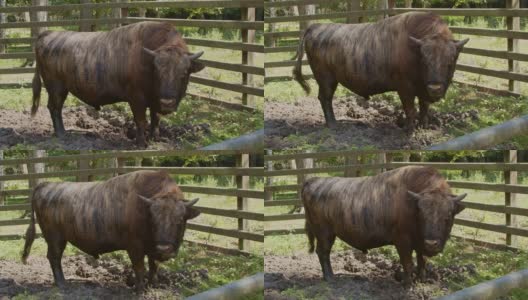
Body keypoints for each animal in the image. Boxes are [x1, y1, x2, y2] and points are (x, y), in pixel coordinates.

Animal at [20, 170, 200, 292]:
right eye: (153, 220)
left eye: (179, 220)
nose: (164, 249)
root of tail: (46, 185)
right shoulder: (135, 248)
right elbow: (139, 268)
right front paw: (139, 289)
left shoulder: (151, 248)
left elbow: (153, 265)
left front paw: (153, 285)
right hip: (55, 238)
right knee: (54, 257)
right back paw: (62, 283)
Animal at [29, 21, 205, 147]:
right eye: (158, 72)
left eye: (184, 73)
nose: (167, 102)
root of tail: (48, 34)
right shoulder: (137, 99)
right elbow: (141, 120)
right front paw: (141, 143)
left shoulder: (154, 100)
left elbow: (155, 118)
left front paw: (155, 138)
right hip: (57, 89)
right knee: (55, 108)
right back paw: (62, 134)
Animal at [292, 12, 470, 131]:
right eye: (425, 62)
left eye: (450, 62)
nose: (435, 88)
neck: (414, 49)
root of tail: (315, 26)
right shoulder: (405, 88)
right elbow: (410, 109)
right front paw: (408, 129)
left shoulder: (422, 89)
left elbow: (424, 107)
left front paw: (424, 126)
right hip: (326, 79)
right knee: (325, 98)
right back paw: (333, 124)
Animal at [302, 166, 466, 286]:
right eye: (422, 216)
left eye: (447, 217)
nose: (431, 243)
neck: (411, 203)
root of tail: (313, 180)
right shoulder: (403, 242)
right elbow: (407, 263)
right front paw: (408, 284)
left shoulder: (420, 243)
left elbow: (422, 261)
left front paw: (422, 280)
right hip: (325, 234)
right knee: (323, 252)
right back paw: (330, 277)